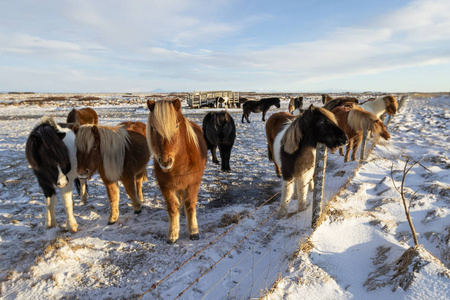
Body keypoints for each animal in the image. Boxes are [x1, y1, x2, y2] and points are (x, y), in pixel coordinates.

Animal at [146, 98, 207, 244]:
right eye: (153, 128)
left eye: (176, 126)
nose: (165, 161)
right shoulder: (166, 186)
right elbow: (172, 208)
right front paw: (172, 234)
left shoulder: (193, 184)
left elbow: (190, 204)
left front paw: (194, 231)